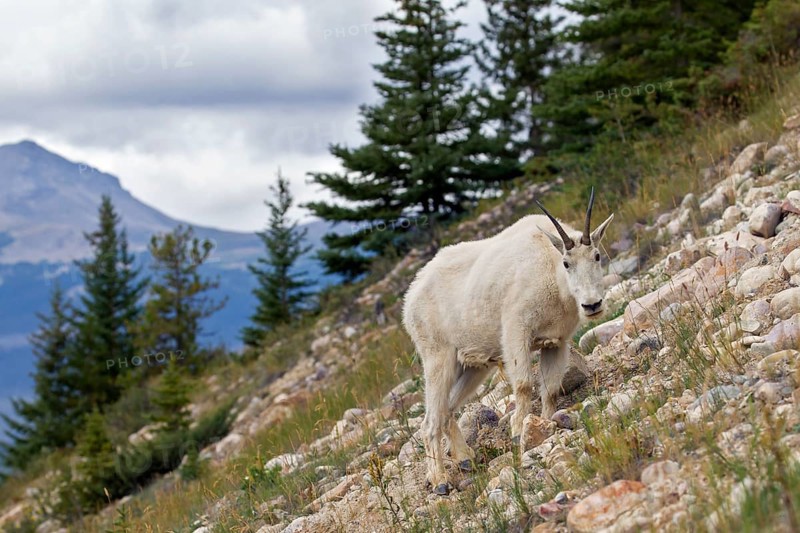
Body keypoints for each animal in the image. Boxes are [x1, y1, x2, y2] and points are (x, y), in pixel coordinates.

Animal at [402, 191, 613, 494]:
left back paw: (464, 459)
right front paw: (518, 435)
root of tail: (410, 299)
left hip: (472, 366)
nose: (592, 305)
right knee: (429, 420)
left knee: (448, 409)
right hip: (437, 357)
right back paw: (439, 480)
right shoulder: (516, 331)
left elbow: (550, 389)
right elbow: (524, 385)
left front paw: (544, 426)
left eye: (597, 256)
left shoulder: (556, 342)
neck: (552, 275)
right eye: (567, 263)